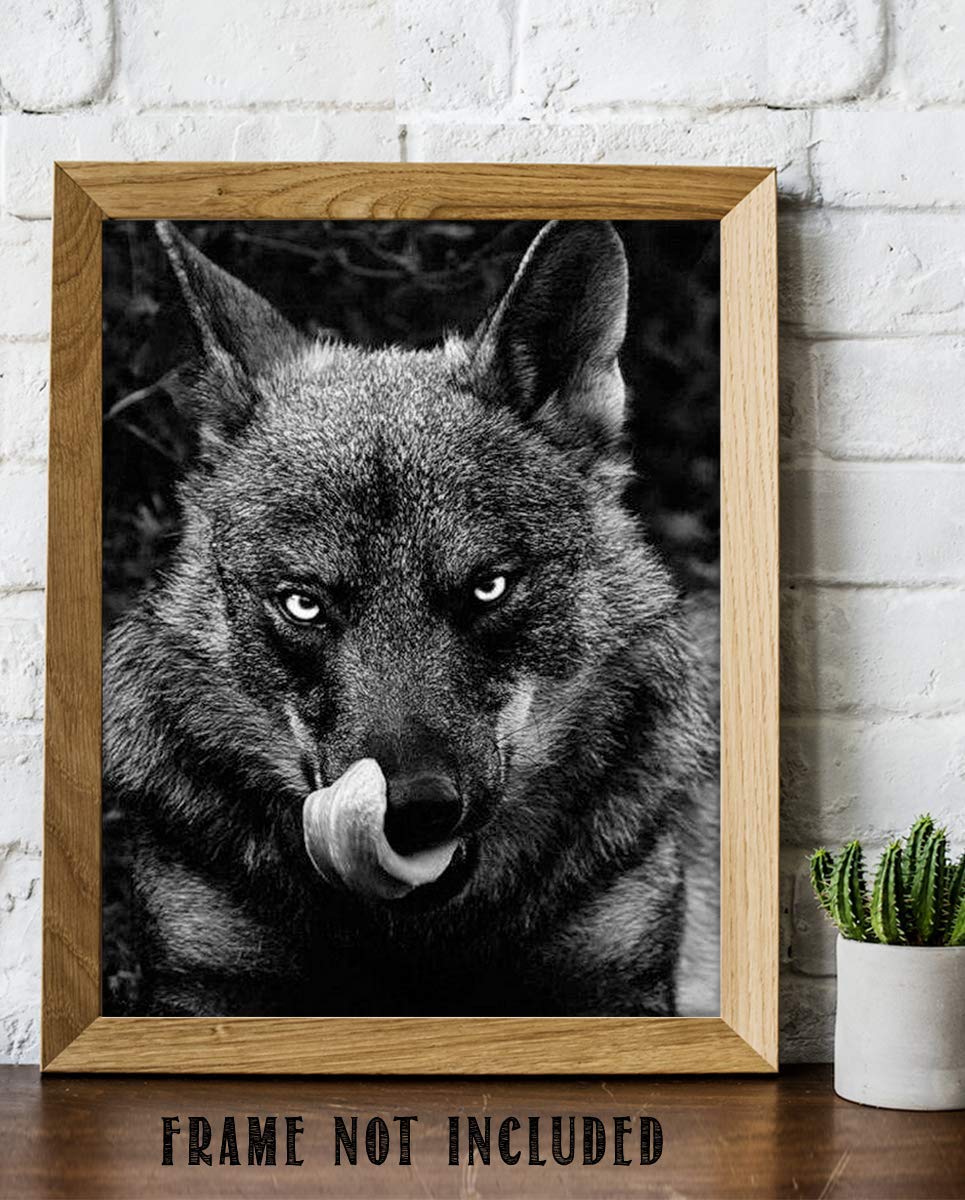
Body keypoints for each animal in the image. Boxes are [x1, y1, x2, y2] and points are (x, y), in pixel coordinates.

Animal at [103, 219, 719, 1018]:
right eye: (303, 603)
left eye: (489, 588)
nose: (414, 809)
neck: (417, 946)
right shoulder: (204, 984)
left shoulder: (614, 987)